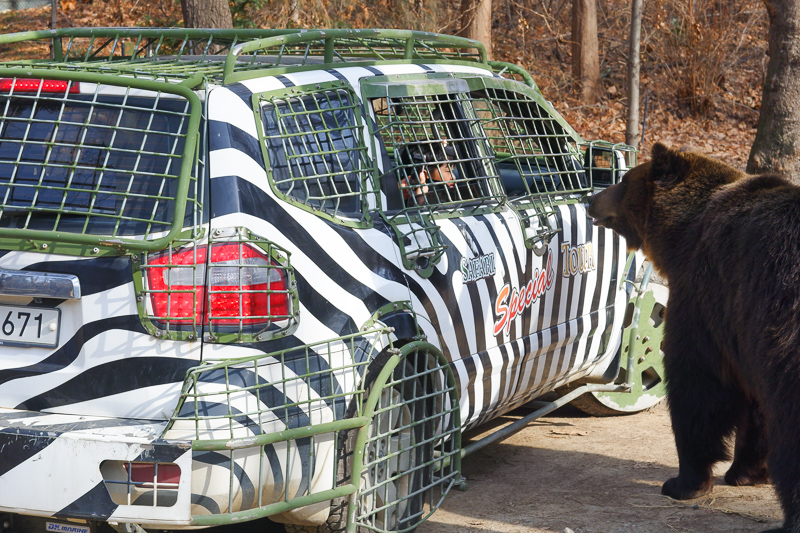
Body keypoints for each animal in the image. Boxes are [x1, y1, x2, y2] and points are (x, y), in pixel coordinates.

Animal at [588, 142, 800, 532]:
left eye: (624, 181)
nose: (591, 200)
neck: (682, 234)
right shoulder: (745, 328)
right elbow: (755, 405)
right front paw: (746, 471)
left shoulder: (706, 295)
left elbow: (698, 386)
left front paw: (682, 482)